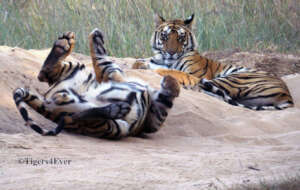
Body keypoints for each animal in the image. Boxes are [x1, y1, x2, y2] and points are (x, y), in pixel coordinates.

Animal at [132, 14, 294, 110]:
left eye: (180, 37)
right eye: (165, 36)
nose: (171, 52)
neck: (166, 60)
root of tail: (288, 95)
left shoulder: (195, 73)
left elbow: (175, 72)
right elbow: (138, 63)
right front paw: (139, 64)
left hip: (235, 78)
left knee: (200, 86)